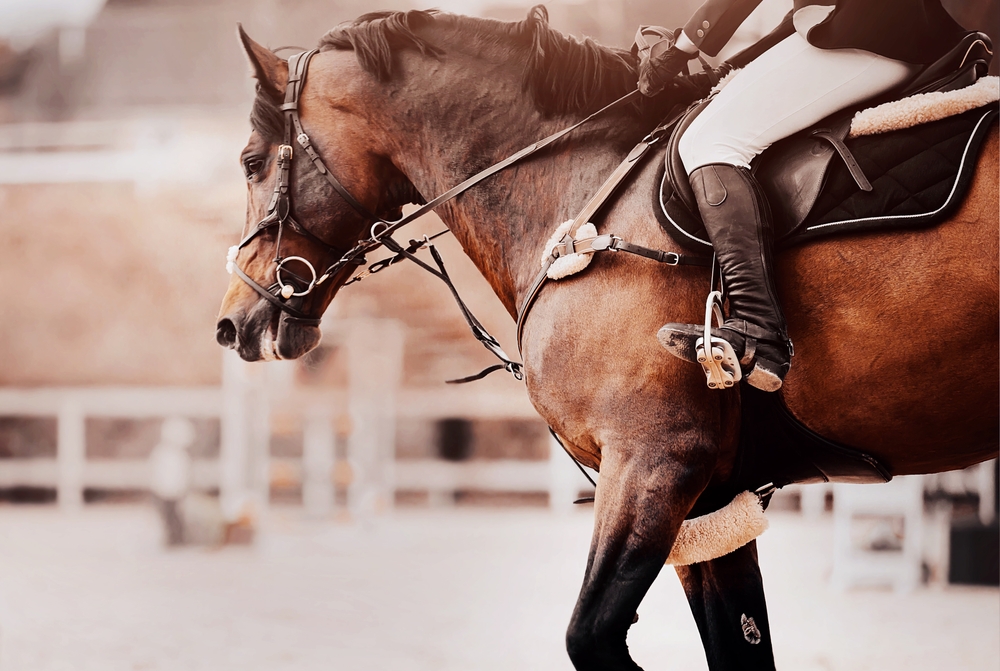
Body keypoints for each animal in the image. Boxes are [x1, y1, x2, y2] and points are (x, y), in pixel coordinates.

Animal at [216, 7, 999, 670]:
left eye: (253, 161)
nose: (233, 323)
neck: (575, 195)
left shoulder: (655, 459)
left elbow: (591, 639)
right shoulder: (712, 499)